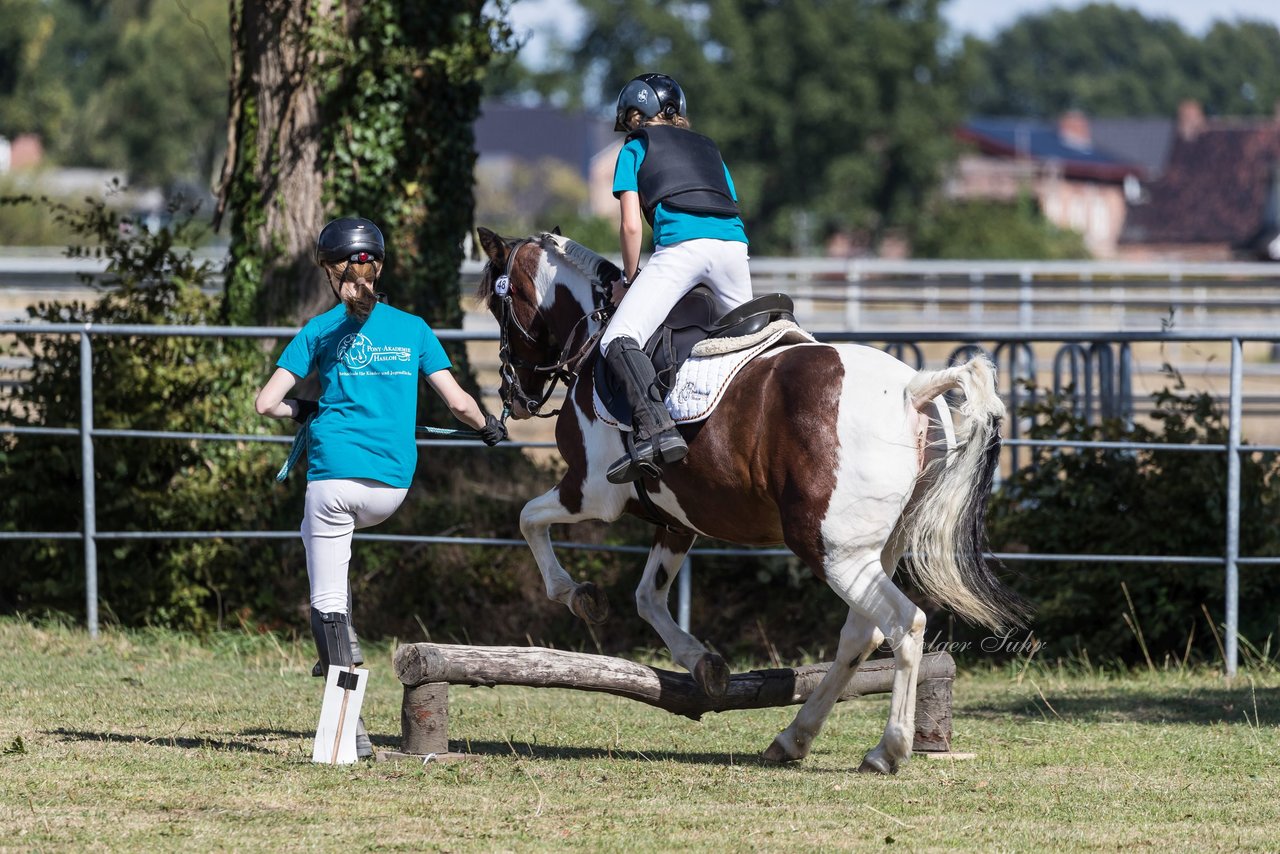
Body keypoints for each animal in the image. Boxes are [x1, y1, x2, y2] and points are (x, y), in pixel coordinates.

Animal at [476, 226, 1024, 773]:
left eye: (498, 305)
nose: (515, 396)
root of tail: (912, 389)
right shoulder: (677, 519)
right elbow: (648, 597)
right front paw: (703, 664)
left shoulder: (590, 491)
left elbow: (528, 519)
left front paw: (577, 595)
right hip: (876, 549)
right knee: (860, 636)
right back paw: (794, 738)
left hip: (832, 549)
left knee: (903, 625)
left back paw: (887, 749)